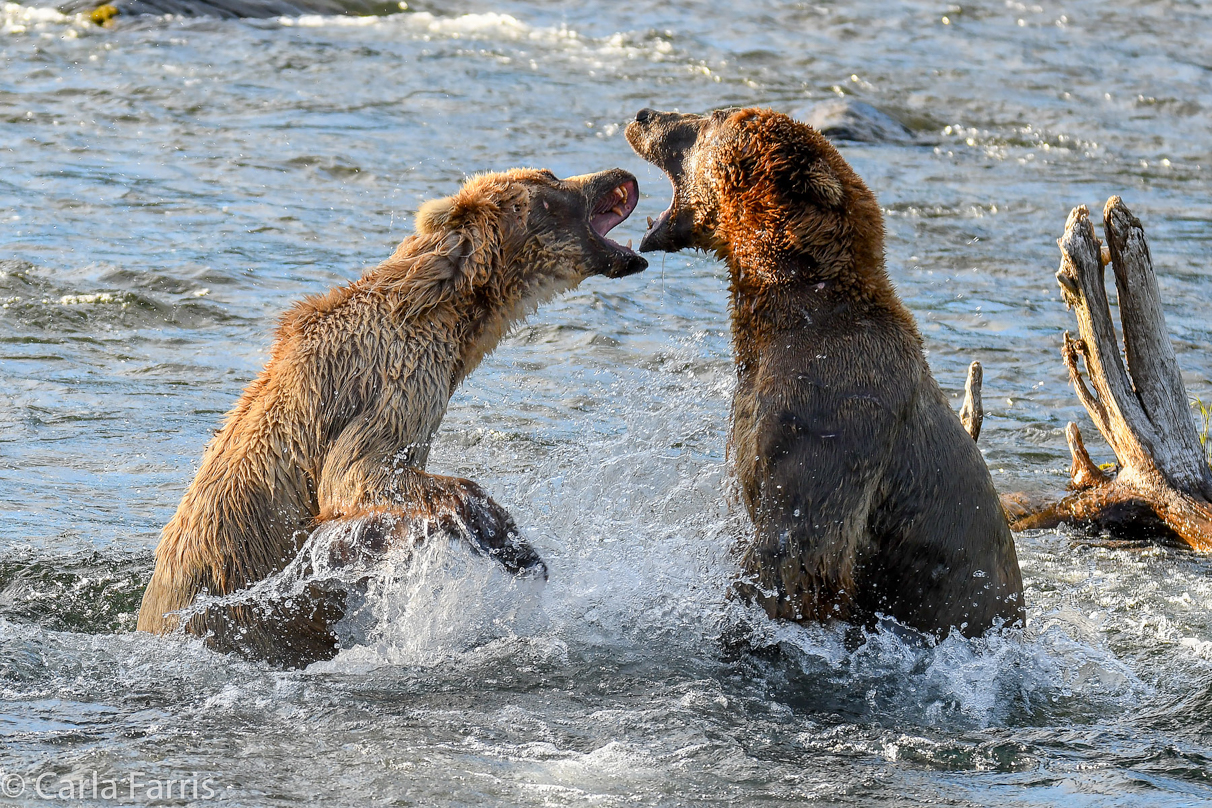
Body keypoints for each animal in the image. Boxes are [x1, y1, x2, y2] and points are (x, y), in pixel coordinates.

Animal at [137, 167, 649, 668]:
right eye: (551, 183)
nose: (618, 174)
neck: (450, 317)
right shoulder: (395, 379)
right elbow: (356, 472)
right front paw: (510, 543)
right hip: (240, 620)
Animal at [625, 107, 1022, 639]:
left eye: (711, 117)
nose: (643, 114)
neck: (791, 312)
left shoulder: (831, 413)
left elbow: (799, 553)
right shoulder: (754, 408)